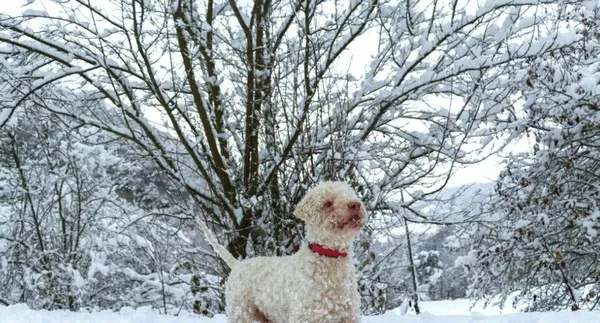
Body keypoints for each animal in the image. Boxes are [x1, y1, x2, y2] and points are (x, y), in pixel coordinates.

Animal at [198, 182, 366, 323]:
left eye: (350, 195)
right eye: (328, 203)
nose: (356, 204)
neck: (330, 257)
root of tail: (238, 264)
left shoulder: (348, 316)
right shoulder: (306, 316)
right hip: (240, 312)